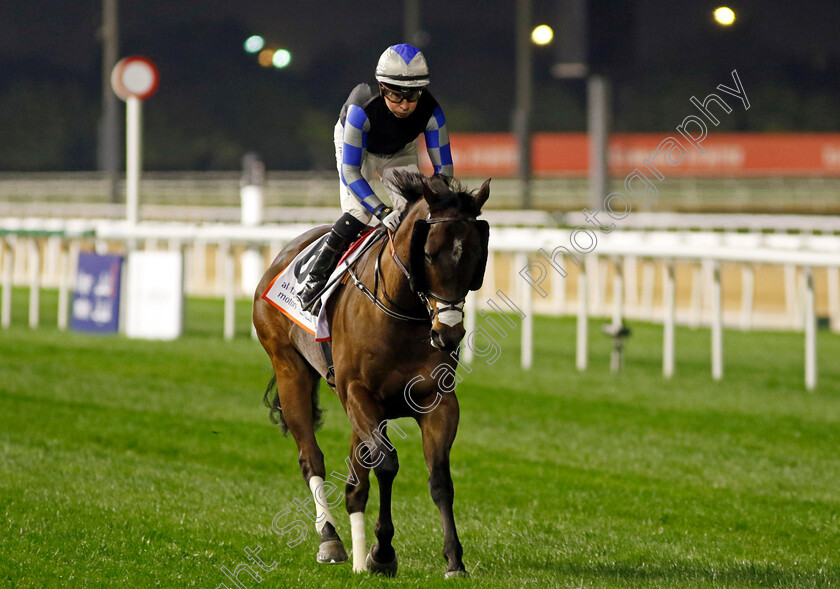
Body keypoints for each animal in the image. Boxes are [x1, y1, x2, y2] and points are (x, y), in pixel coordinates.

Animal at [253, 172, 488, 576]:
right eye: (428, 253)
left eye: (474, 255)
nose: (449, 334)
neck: (402, 310)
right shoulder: (359, 393)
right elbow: (387, 464)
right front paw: (382, 552)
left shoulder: (437, 400)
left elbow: (440, 478)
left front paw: (454, 558)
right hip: (289, 370)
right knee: (311, 457)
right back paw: (330, 539)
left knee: (354, 483)